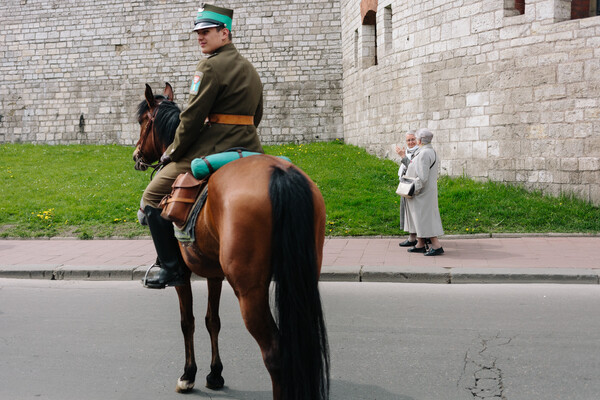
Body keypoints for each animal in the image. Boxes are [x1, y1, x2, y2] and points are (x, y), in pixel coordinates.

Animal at [132, 83, 330, 398]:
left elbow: (187, 322)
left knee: (275, 352)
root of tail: (278, 173)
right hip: (301, 277)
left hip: (249, 290)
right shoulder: (215, 273)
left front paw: (188, 374)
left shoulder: (183, 276)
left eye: (142, 121)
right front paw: (215, 374)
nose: (136, 155)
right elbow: (212, 321)